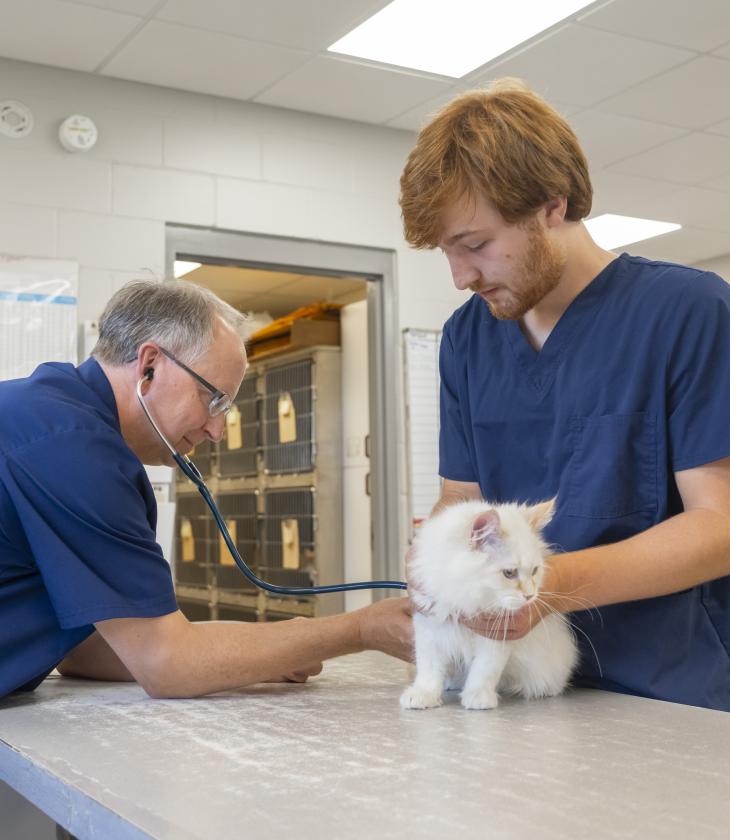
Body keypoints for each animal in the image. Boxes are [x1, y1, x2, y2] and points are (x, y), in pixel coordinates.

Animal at [398, 498, 576, 708]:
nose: (530, 596)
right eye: (509, 573)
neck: (467, 602)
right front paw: (423, 695)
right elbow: (428, 669)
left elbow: (484, 670)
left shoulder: (496, 638)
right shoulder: (429, 626)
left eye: (534, 571)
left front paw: (477, 697)